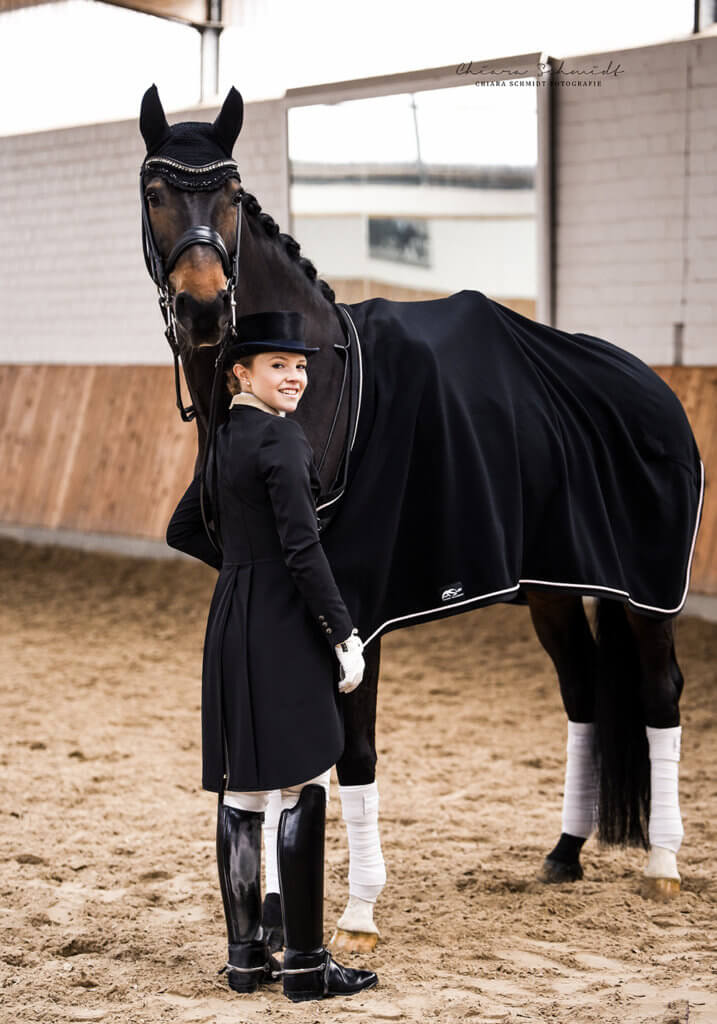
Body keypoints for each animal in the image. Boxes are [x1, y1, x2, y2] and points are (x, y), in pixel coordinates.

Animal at [137, 86, 704, 950]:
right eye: (155, 192)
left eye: (230, 194)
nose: (203, 309)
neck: (318, 394)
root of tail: (650, 382)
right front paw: (277, 916)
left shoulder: (354, 616)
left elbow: (355, 754)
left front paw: (357, 914)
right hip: (551, 585)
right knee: (580, 689)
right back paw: (564, 852)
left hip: (645, 594)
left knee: (658, 695)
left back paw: (663, 865)